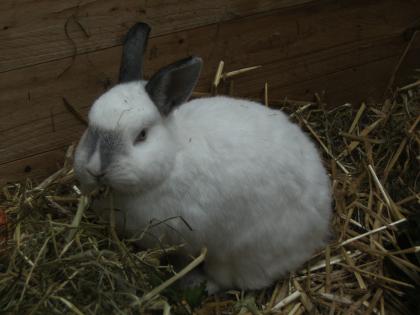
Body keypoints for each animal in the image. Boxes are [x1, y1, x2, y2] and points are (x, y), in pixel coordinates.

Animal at [74, 21, 332, 294]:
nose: (96, 169)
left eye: (141, 135)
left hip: (239, 257)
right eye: (89, 125)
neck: (173, 158)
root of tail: (321, 224)